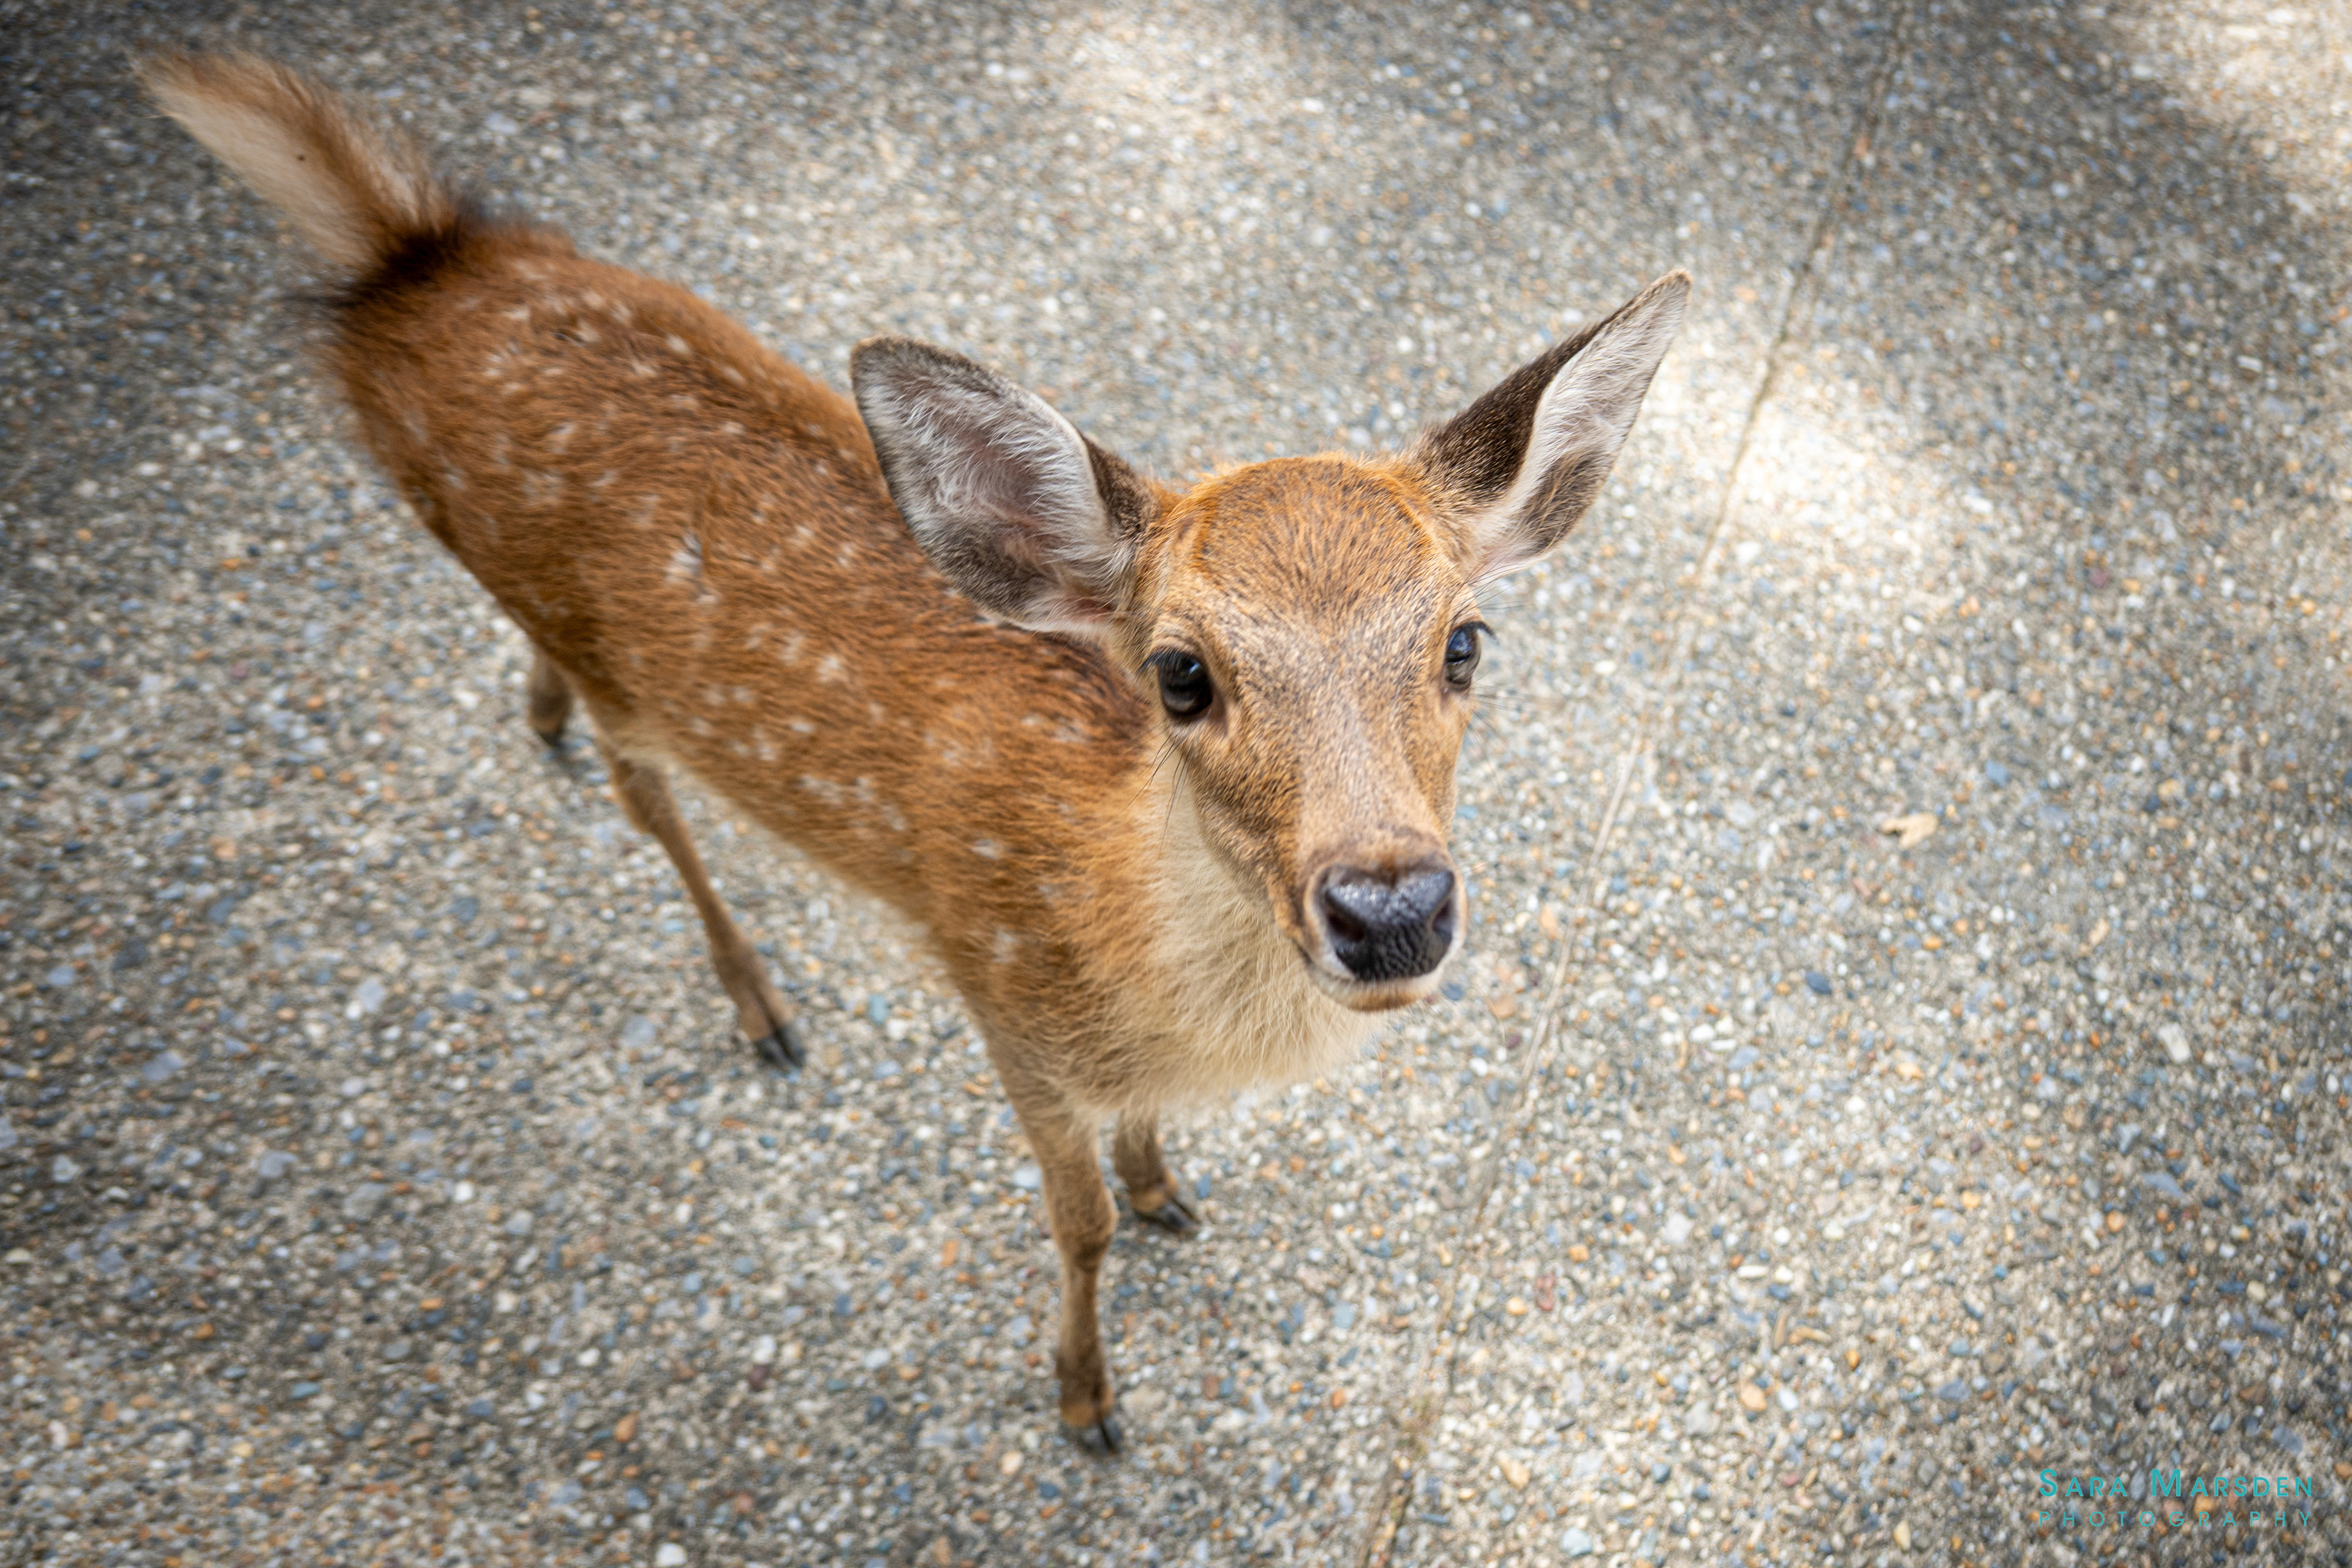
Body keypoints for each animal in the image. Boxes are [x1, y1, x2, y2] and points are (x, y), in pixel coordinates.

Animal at [141, 51, 1687, 1453]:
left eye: (1464, 641)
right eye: (1178, 671)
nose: (1389, 907)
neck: (1111, 927)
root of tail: (408, 258)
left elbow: (1135, 1166)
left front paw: (1167, 1187)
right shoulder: (997, 990)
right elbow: (1074, 1224)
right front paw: (1086, 1398)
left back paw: (541, 718)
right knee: (649, 800)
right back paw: (759, 1004)